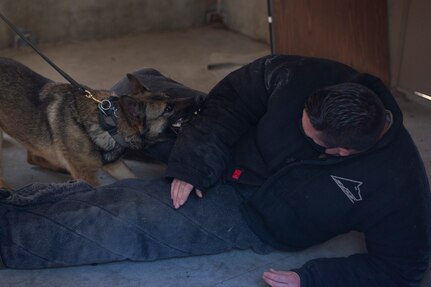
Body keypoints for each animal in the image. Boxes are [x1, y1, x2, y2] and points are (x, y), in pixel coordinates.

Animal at [0, 57, 202, 188]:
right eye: (168, 108)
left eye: (169, 97)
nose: (198, 99)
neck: (108, 122)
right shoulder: (88, 176)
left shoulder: (116, 166)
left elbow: (133, 179)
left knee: (32, 156)